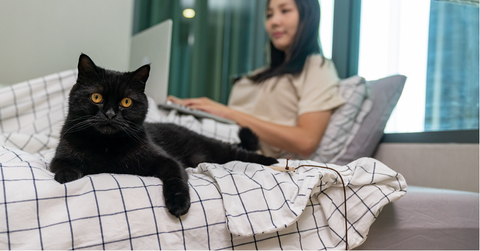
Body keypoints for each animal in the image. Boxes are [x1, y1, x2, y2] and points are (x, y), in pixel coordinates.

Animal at [48, 53, 278, 218]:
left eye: (126, 102)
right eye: (96, 97)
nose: (110, 114)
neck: (106, 145)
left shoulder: (167, 161)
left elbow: (176, 178)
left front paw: (178, 204)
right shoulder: (59, 156)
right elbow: (61, 164)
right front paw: (68, 175)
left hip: (218, 150)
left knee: (239, 152)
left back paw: (272, 161)